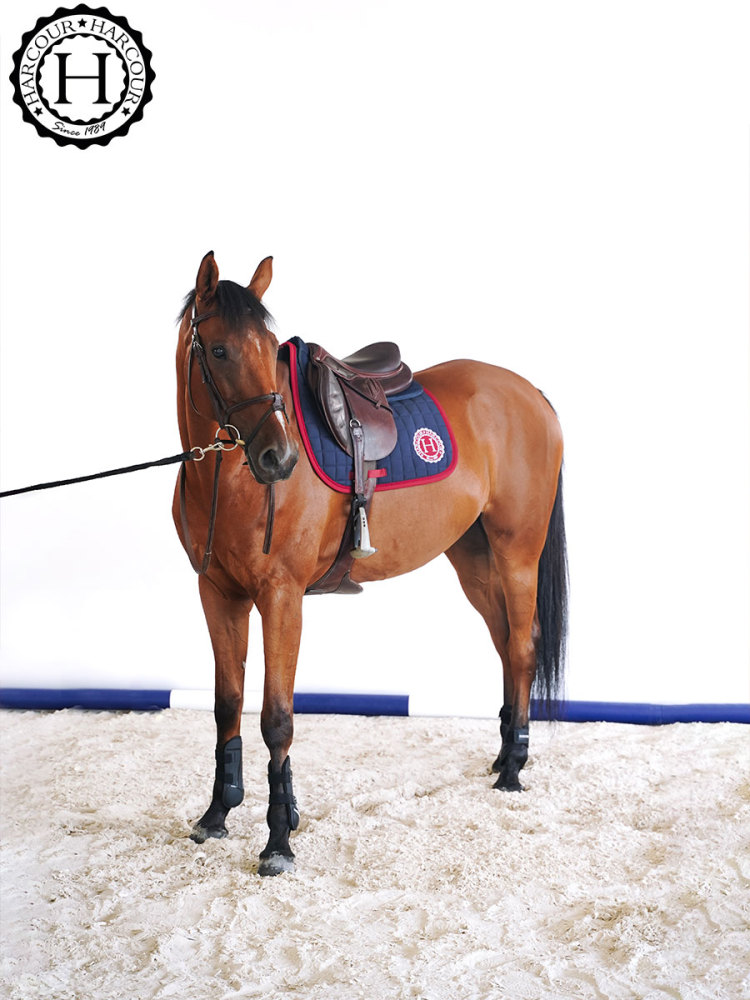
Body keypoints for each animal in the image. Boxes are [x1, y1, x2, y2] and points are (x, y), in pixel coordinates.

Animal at [173, 251, 568, 876]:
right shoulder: (217, 593)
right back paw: (504, 752)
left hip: (517, 552)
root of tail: (529, 391)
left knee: (524, 647)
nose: (279, 458)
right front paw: (218, 813)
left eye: (268, 346)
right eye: (218, 350)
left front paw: (278, 839)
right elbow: (226, 705)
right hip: (474, 561)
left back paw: (512, 771)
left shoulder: (281, 597)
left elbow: (276, 718)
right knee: (507, 646)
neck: (225, 478)